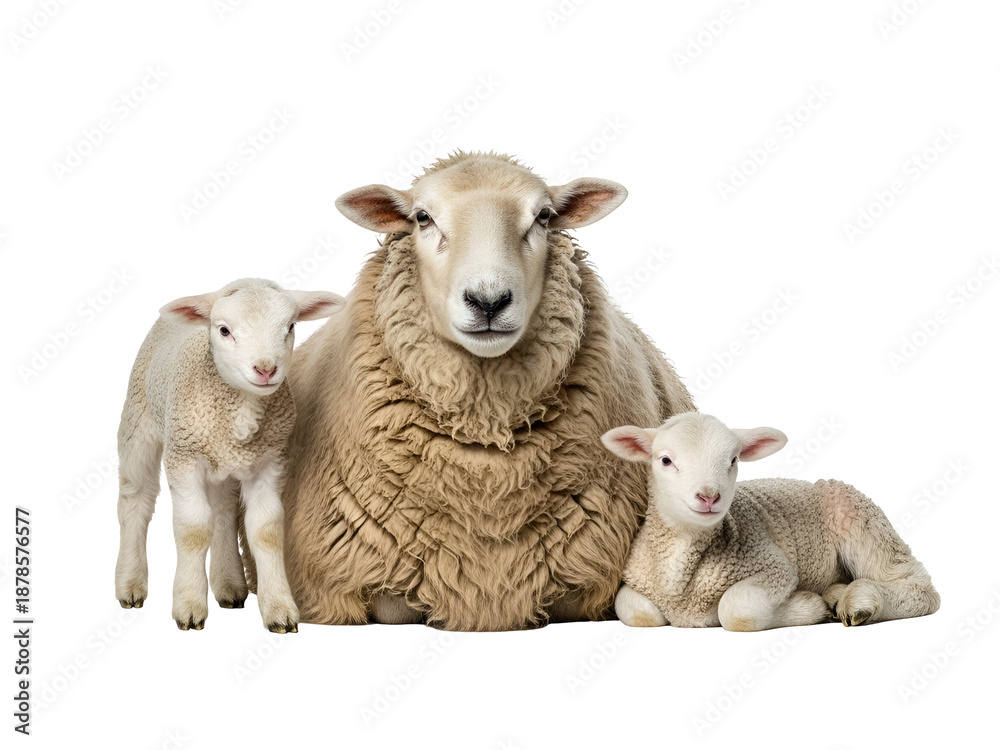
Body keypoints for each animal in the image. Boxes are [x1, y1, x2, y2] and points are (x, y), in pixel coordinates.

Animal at [114, 278, 344, 632]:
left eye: (290, 327)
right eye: (224, 330)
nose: (266, 369)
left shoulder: (271, 460)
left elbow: (266, 531)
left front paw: (280, 610)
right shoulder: (184, 457)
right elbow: (193, 529)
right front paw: (189, 607)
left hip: (223, 462)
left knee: (223, 510)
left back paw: (230, 586)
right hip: (140, 421)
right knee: (135, 499)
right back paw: (130, 586)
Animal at [277, 151, 696, 631]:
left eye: (544, 216)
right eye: (422, 217)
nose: (489, 301)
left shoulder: (592, 581)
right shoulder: (344, 581)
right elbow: (398, 605)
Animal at [602, 412, 940, 631]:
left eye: (733, 460)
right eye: (665, 460)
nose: (709, 497)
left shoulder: (774, 568)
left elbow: (736, 611)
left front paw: (809, 606)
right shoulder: (634, 581)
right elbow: (638, 613)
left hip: (858, 518)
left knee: (919, 587)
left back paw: (859, 601)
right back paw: (836, 595)